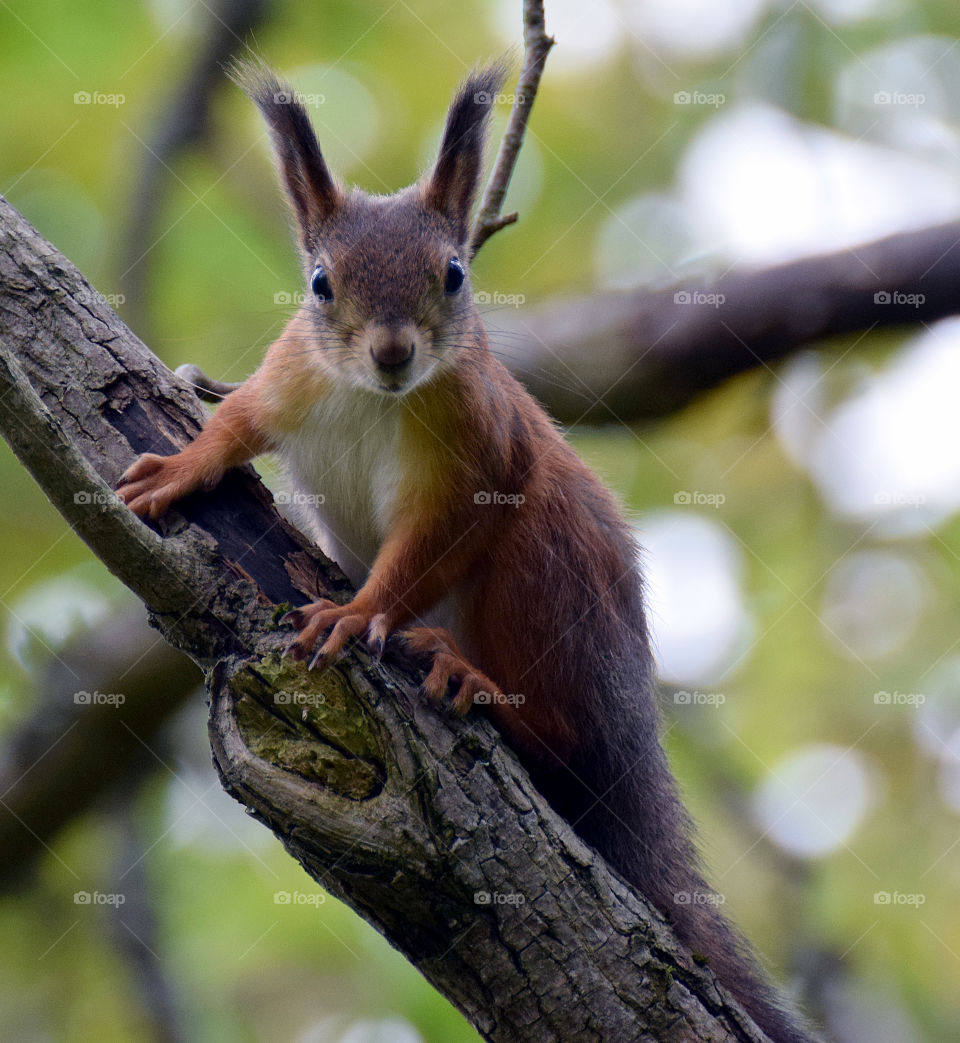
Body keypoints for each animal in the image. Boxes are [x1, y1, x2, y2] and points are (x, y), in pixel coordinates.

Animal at [116, 61, 817, 1043]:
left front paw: (357, 613)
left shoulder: (482, 459)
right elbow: (235, 425)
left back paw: (475, 682)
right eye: (321, 283)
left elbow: (425, 552)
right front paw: (180, 466)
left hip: (540, 579)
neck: (370, 396)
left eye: (453, 274)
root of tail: (630, 735)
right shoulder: (286, 378)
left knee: (560, 742)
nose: (393, 349)